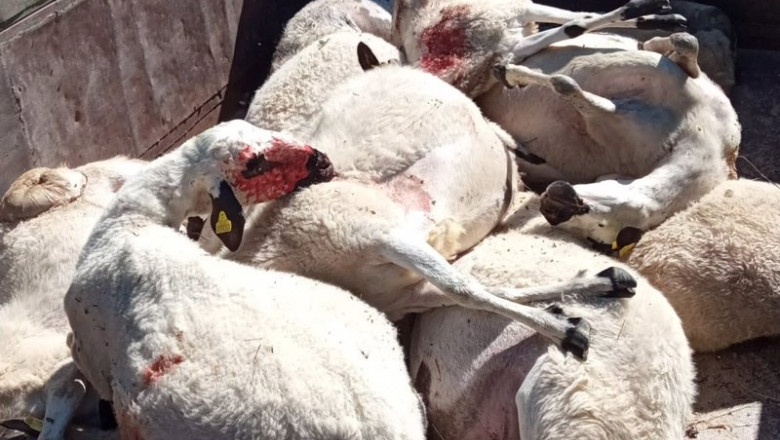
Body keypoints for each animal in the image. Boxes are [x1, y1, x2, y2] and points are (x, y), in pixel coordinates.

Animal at [226, 56, 639, 361]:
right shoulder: (403, 292)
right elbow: (478, 289)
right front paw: (589, 291)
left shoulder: (383, 234)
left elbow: (465, 290)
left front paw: (564, 331)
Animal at [482, 32, 740, 244]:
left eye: (596, 230)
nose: (551, 208)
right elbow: (686, 43)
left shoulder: (607, 121)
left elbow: (566, 85)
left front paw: (511, 74)